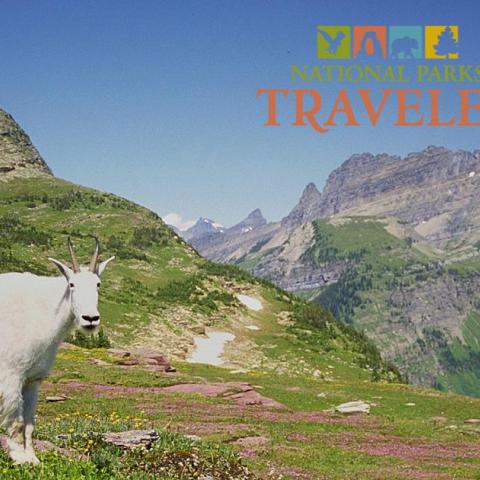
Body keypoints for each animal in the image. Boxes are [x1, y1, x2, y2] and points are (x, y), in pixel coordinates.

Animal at [0, 238, 113, 464]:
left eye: (98, 284)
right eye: (72, 284)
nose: (90, 319)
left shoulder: (33, 379)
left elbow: (29, 424)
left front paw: (33, 459)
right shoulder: (11, 375)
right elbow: (16, 422)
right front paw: (19, 458)